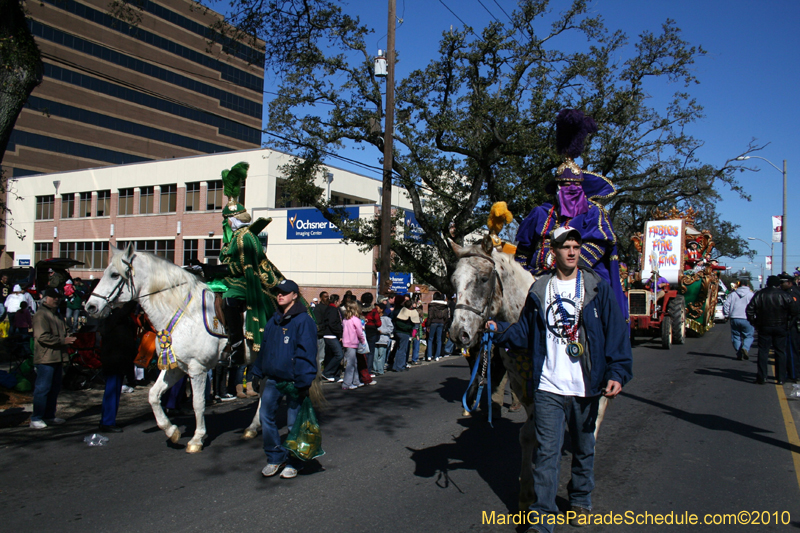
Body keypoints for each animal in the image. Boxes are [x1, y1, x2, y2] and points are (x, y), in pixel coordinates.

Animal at [85, 243, 260, 450]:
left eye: (114, 274)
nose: (90, 307)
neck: (184, 312)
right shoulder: (175, 366)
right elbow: (153, 395)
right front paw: (171, 431)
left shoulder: (197, 368)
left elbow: (198, 403)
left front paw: (197, 438)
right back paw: (253, 427)